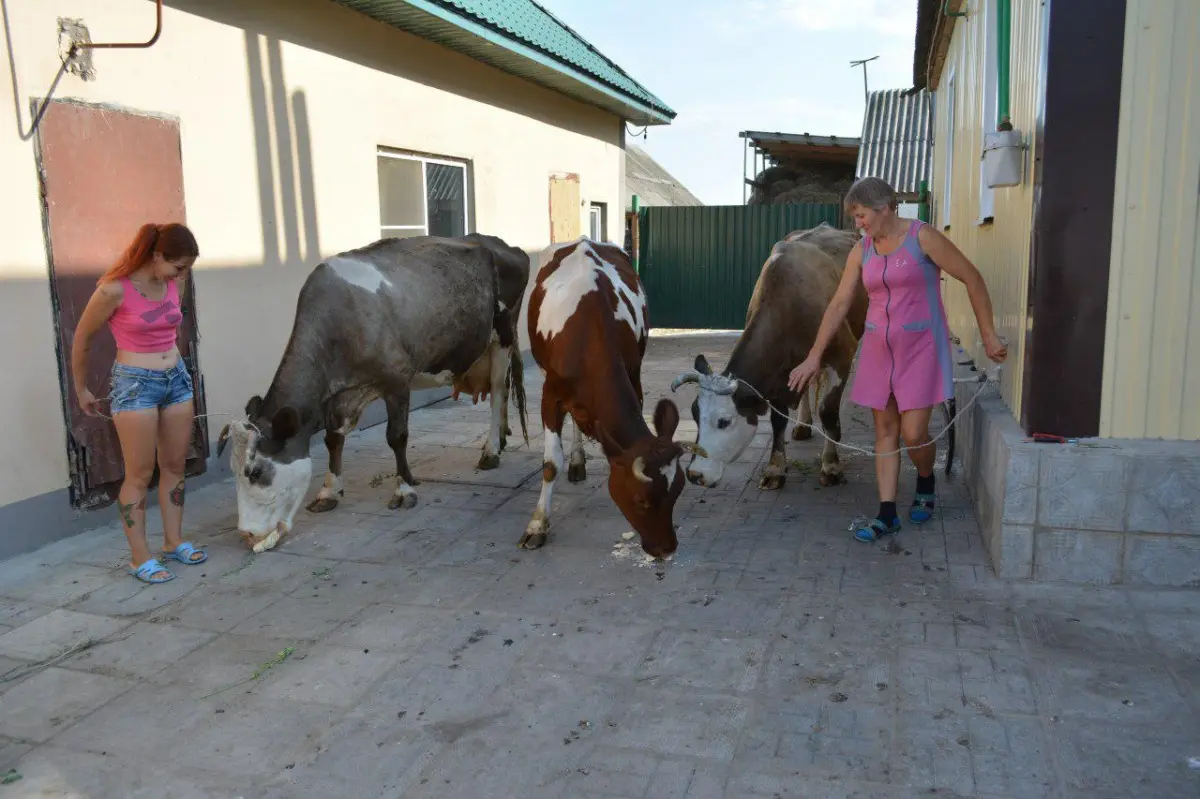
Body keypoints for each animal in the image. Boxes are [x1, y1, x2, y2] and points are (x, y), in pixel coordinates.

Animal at [218, 233, 528, 551]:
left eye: (255, 472)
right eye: (232, 469)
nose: (246, 533)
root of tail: (496, 242)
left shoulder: (397, 379)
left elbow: (397, 436)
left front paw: (404, 489)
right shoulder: (337, 398)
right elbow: (332, 441)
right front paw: (329, 491)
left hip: (503, 335)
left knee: (498, 391)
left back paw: (491, 451)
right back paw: (501, 439)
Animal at [520, 236, 700, 556]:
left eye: (677, 492)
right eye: (642, 500)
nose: (667, 549)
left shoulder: (634, 376)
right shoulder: (550, 395)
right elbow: (551, 463)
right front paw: (537, 524)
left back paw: (578, 460)